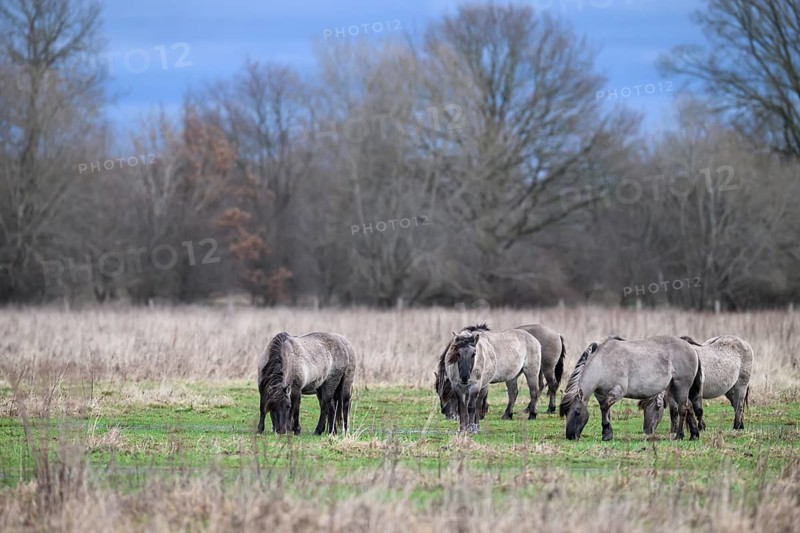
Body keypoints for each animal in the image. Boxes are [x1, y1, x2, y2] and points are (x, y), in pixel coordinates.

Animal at [435, 324, 565, 419]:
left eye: (449, 392)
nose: (446, 413)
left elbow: (481, 397)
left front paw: (481, 413)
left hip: (538, 370)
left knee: (539, 389)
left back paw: (538, 413)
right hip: (513, 376)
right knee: (514, 393)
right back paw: (508, 414)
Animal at [560, 336, 703, 441]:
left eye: (577, 412)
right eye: (566, 413)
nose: (570, 436)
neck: (602, 363)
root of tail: (691, 348)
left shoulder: (618, 391)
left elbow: (605, 407)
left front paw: (606, 433)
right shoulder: (601, 395)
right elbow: (606, 410)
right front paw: (608, 433)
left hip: (681, 386)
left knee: (683, 408)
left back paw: (679, 435)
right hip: (673, 388)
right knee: (689, 406)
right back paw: (694, 435)